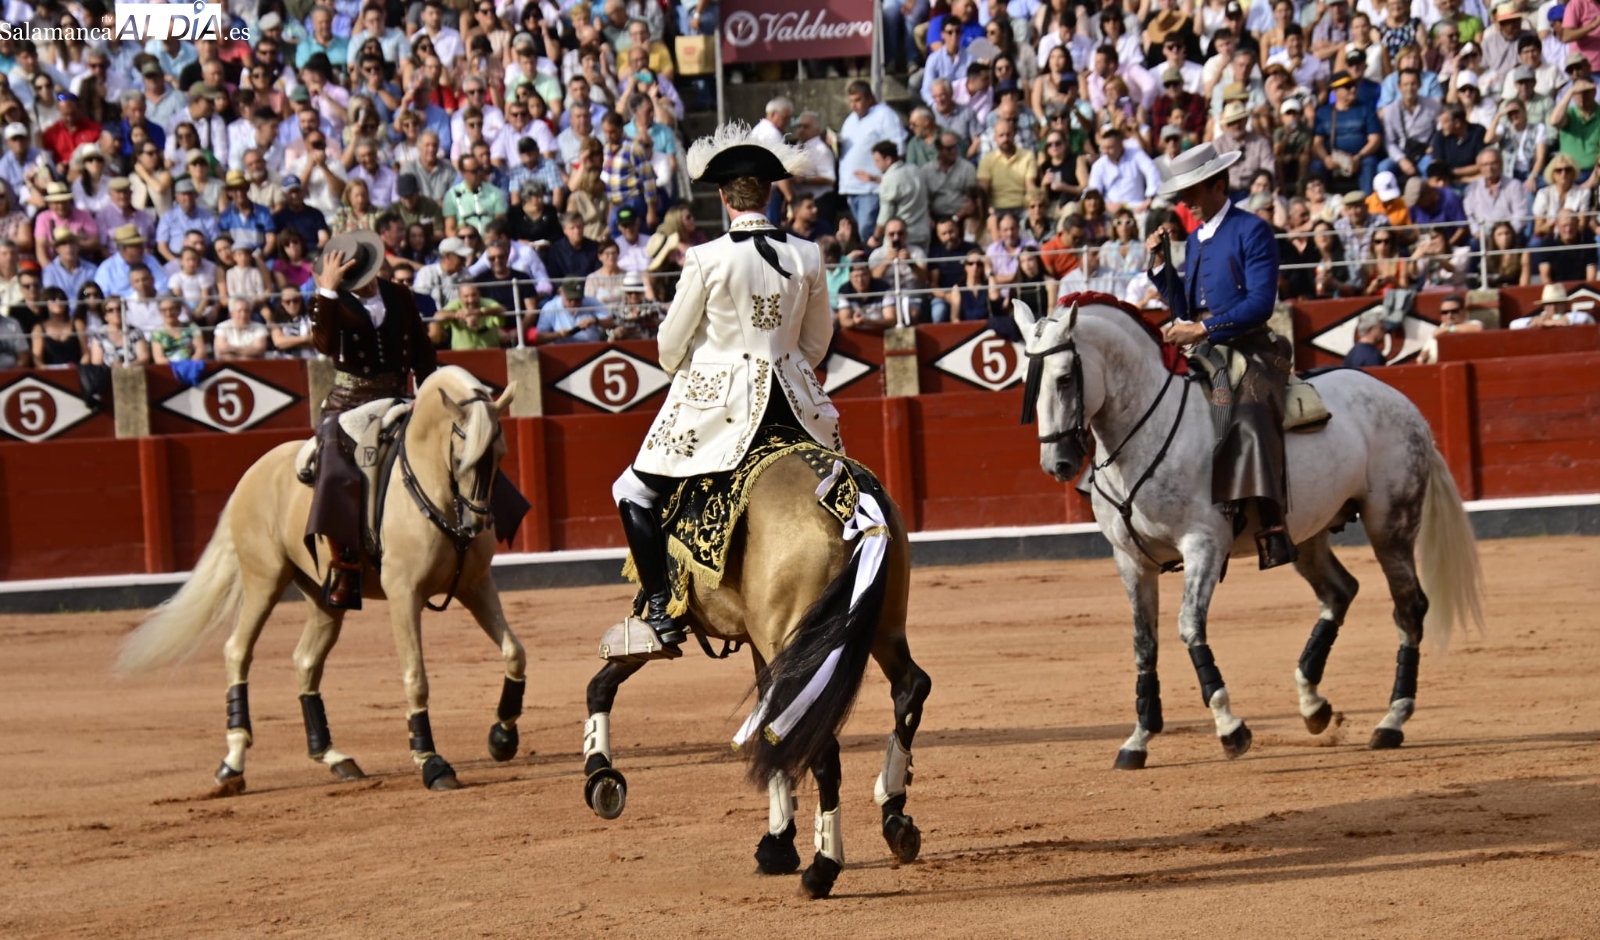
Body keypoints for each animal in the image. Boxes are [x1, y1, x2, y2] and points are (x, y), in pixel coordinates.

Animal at [117, 366, 527, 794]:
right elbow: (416, 677)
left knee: (305, 659)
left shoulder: (476, 585)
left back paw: (332, 756)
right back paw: (233, 762)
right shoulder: (404, 594)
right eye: (461, 457)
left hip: (325, 597)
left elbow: (514, 651)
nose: (474, 526)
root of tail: (252, 474)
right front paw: (431, 762)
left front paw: (502, 737)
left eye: (501, 455)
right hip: (264, 579)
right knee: (237, 650)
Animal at [580, 457, 930, 900]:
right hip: (881, 627)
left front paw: (601, 775)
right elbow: (768, 723)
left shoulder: (679, 630)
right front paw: (778, 843)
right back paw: (895, 817)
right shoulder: (758, 644)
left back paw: (823, 869)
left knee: (822, 744)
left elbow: (602, 682)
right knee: (911, 688)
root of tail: (850, 498)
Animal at [1015, 295, 1484, 769]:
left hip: (1390, 523)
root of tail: (1405, 405)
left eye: (1065, 378)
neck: (1146, 430)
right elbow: (1144, 643)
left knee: (1409, 608)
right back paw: (1313, 705)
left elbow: (1189, 626)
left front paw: (1230, 728)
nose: (1057, 464)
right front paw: (1138, 739)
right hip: (1307, 534)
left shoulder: (1203, 545)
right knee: (1339, 591)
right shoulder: (1130, 560)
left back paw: (1391, 721)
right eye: (1028, 384)